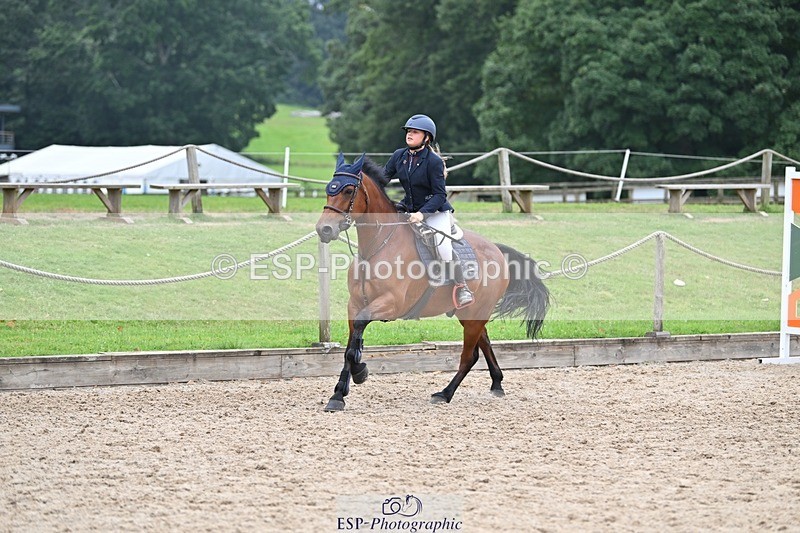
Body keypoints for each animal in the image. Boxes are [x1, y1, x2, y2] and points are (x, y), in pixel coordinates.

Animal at [315, 153, 550, 411]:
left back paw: (444, 393)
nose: (324, 229)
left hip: (475, 315)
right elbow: (350, 345)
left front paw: (360, 371)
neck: (377, 246)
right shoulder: (355, 304)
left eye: (348, 190)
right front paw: (338, 395)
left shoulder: (391, 304)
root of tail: (496, 249)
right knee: (485, 343)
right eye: (329, 189)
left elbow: (357, 334)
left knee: (469, 356)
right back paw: (496, 384)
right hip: (470, 313)